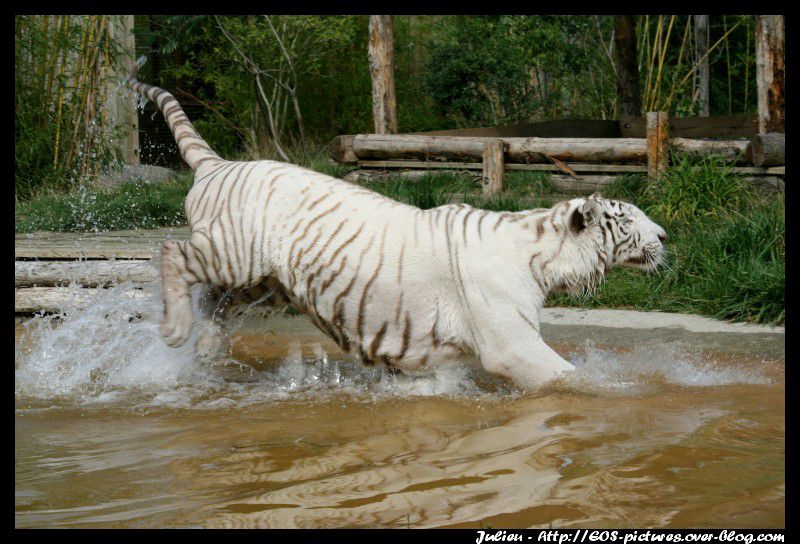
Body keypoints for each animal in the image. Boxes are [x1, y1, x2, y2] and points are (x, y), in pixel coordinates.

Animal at [128, 70, 668, 388]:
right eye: (629, 218)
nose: (664, 237)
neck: (545, 254)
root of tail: (218, 163)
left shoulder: (440, 356)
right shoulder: (510, 342)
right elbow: (564, 376)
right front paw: (610, 390)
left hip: (265, 285)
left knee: (217, 306)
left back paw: (202, 354)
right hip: (237, 254)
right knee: (173, 252)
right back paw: (175, 331)